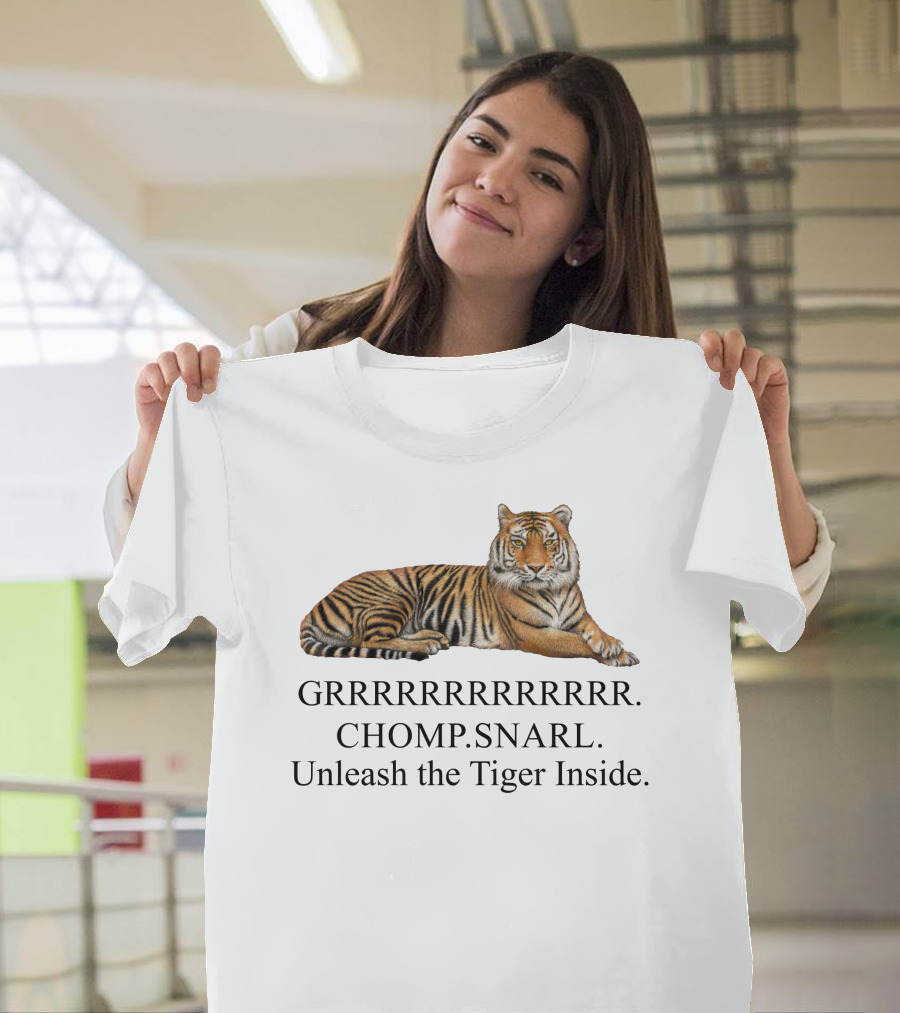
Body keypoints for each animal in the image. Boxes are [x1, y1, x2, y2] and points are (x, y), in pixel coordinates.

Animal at [299, 503, 639, 665]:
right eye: (518, 542)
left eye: (548, 542)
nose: (536, 567)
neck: (554, 589)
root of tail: (313, 607)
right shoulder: (533, 633)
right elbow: (575, 642)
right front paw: (615, 654)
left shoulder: (579, 617)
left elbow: (593, 629)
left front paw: (614, 647)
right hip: (394, 596)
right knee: (371, 639)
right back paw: (426, 644)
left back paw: (435, 636)